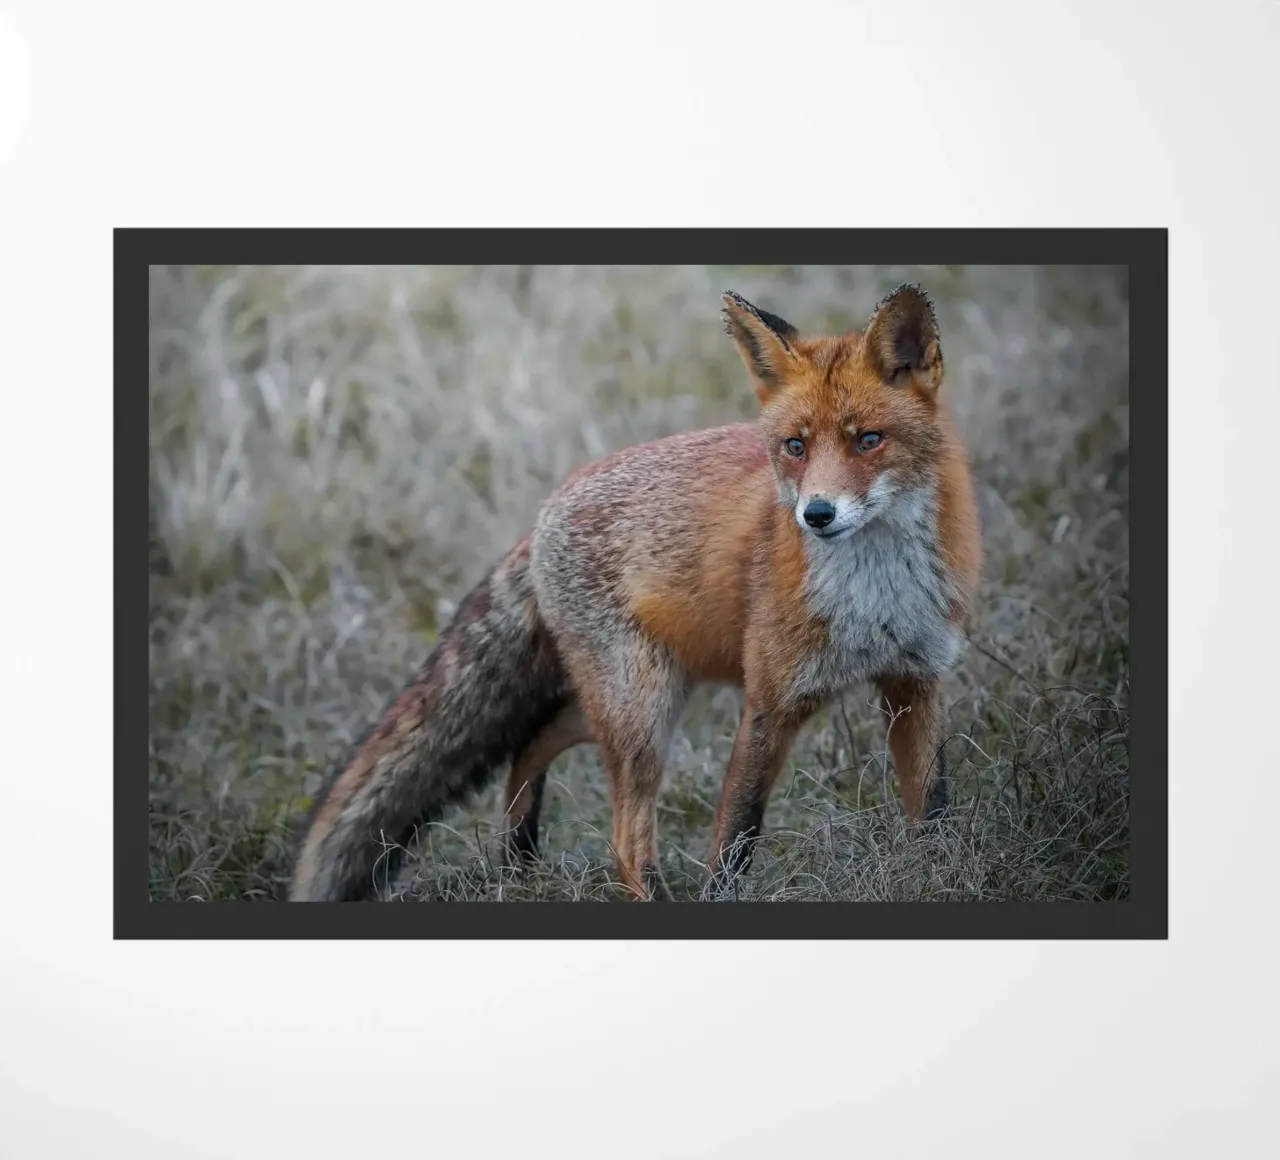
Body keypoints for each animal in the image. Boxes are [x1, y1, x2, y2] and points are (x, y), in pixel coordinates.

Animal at [288, 283, 982, 902]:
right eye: (795, 446)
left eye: (869, 440)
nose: (816, 514)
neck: (875, 597)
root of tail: (546, 509)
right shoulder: (771, 701)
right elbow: (734, 842)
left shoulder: (915, 681)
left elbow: (934, 814)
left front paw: (937, 882)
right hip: (642, 711)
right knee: (623, 834)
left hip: (638, 698)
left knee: (531, 741)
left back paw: (521, 862)